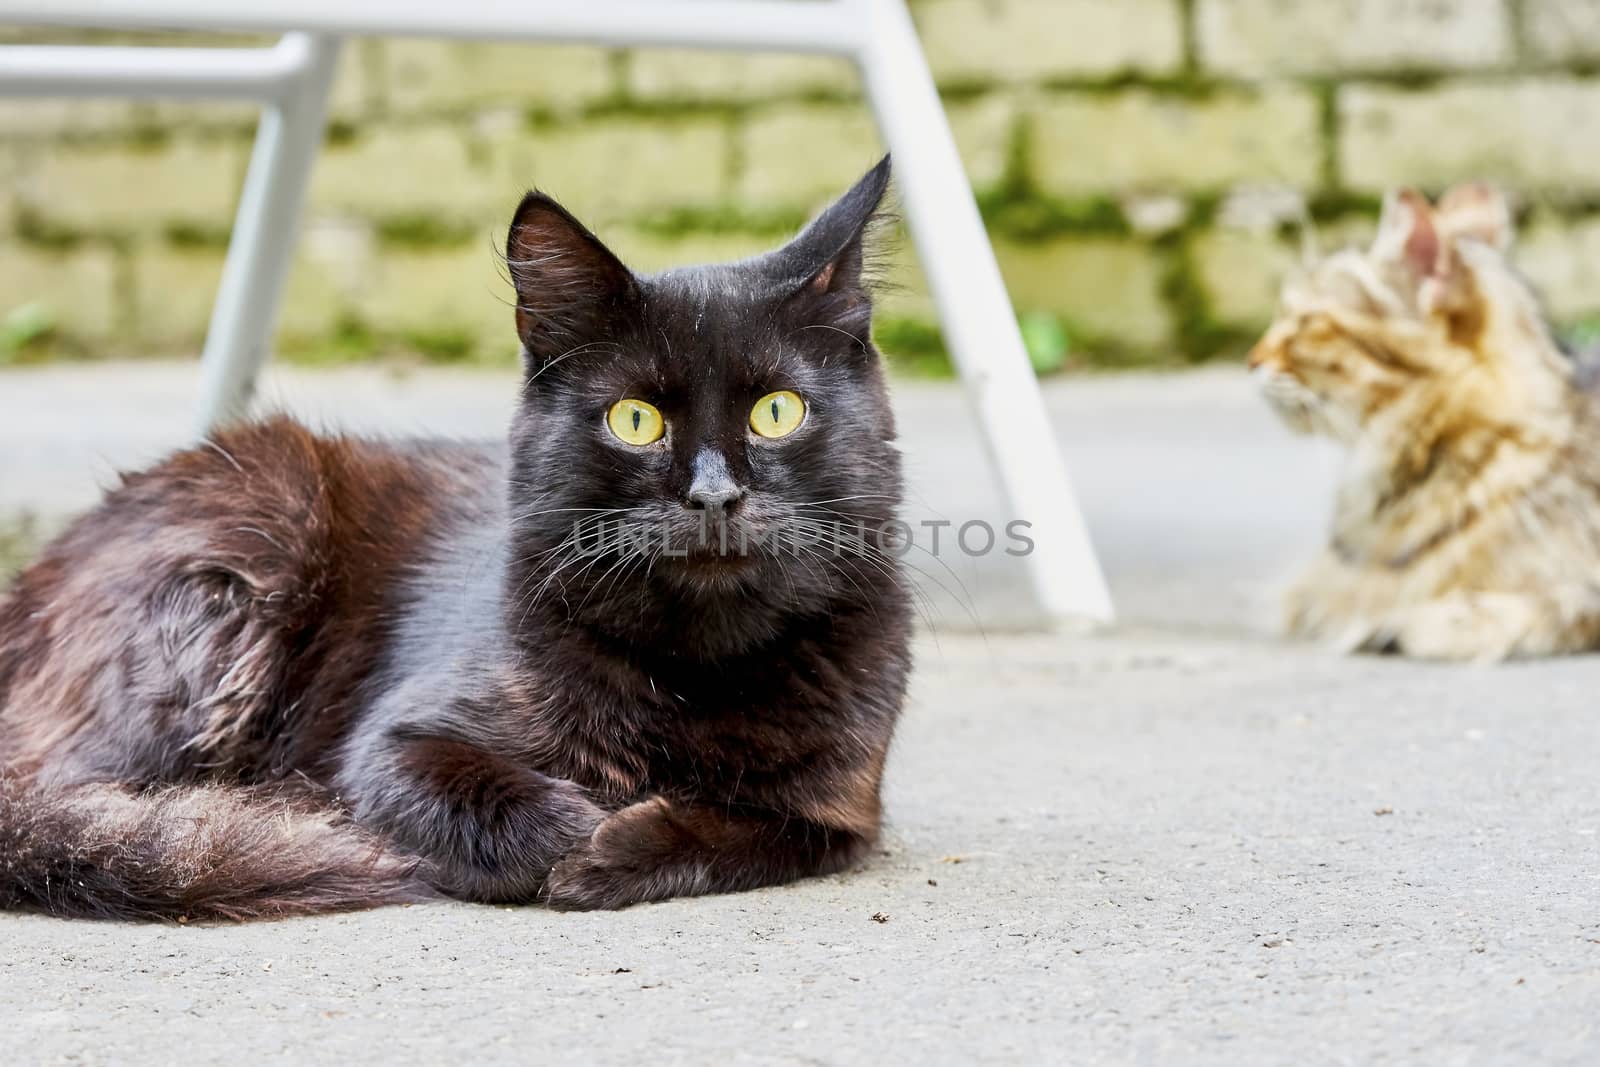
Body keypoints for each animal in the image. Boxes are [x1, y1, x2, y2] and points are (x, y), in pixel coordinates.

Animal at [0, 156, 915, 921]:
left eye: (778, 411)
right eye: (635, 420)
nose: (714, 495)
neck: (695, 675)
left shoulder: (841, 810)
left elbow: (751, 830)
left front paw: (617, 849)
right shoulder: (390, 741)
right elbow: (470, 787)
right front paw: (570, 833)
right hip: (257, 538)